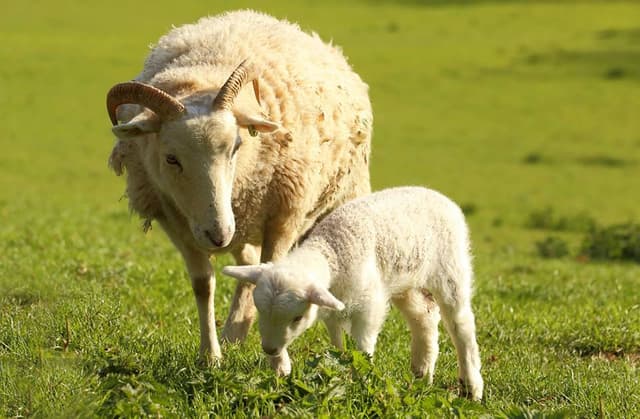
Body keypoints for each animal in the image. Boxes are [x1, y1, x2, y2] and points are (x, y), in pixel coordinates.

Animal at [107, 10, 372, 364]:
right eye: (171, 159)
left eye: (235, 147)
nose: (218, 234)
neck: (199, 82)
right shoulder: (173, 219)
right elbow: (203, 284)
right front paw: (211, 356)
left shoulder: (284, 213)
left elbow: (276, 273)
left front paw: (277, 363)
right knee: (248, 264)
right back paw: (234, 332)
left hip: (343, 197)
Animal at [222, 186, 482, 400]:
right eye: (260, 311)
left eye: (297, 318)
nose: (269, 349)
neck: (331, 251)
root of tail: (441, 197)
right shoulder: (333, 309)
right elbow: (339, 346)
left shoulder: (369, 306)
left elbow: (362, 347)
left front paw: (361, 381)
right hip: (405, 280)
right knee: (424, 316)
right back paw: (422, 375)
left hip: (450, 269)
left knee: (461, 324)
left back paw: (471, 387)